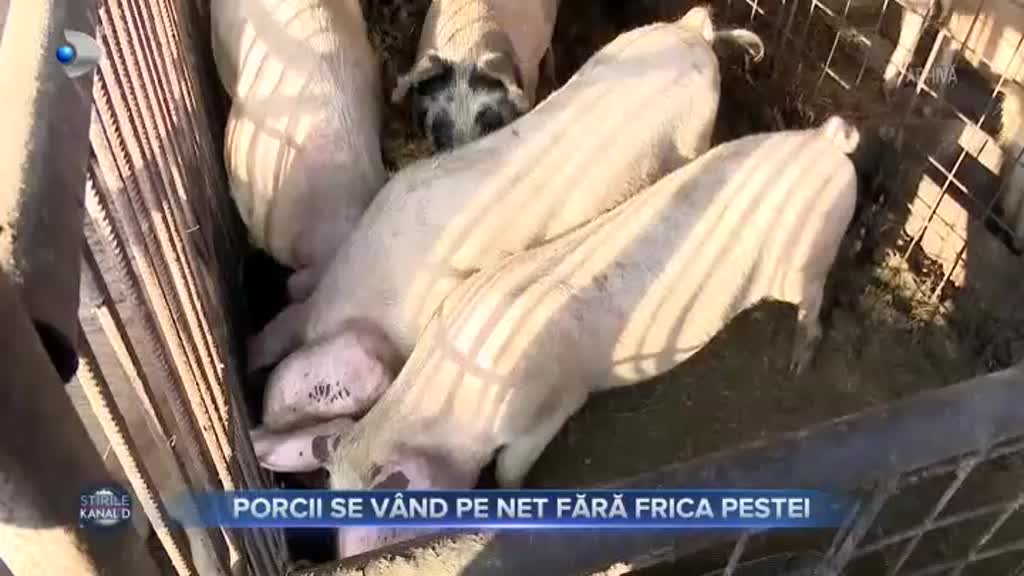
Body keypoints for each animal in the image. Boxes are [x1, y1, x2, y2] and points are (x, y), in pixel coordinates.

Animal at [253, 116, 861, 557]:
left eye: (388, 528)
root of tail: (826, 142)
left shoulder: (549, 407)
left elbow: (510, 468)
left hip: (809, 256)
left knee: (813, 305)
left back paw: (798, 362)